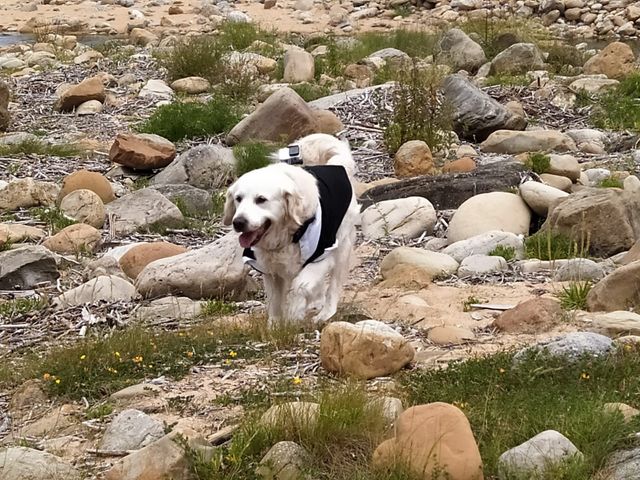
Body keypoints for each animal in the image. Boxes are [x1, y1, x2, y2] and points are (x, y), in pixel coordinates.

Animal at [224, 133, 360, 324]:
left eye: (261, 199)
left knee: (333, 286)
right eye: (238, 198)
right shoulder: (270, 270)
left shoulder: (321, 257)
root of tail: (335, 165)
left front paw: (294, 315)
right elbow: (274, 303)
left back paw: (325, 313)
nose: (238, 222)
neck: (288, 235)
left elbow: (298, 287)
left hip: (342, 247)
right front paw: (274, 326)